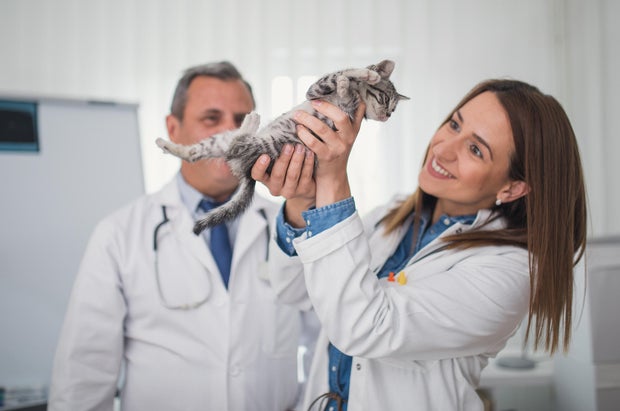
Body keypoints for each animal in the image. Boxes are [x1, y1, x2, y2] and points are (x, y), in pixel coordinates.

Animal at [156, 60, 406, 235]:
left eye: (394, 110)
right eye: (385, 100)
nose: (386, 116)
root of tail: (246, 172)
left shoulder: (329, 97)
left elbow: (340, 79)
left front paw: (352, 81)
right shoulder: (316, 90)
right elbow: (341, 73)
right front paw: (361, 76)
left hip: (265, 145)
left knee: (235, 145)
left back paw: (251, 121)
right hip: (223, 139)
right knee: (195, 153)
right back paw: (165, 144)